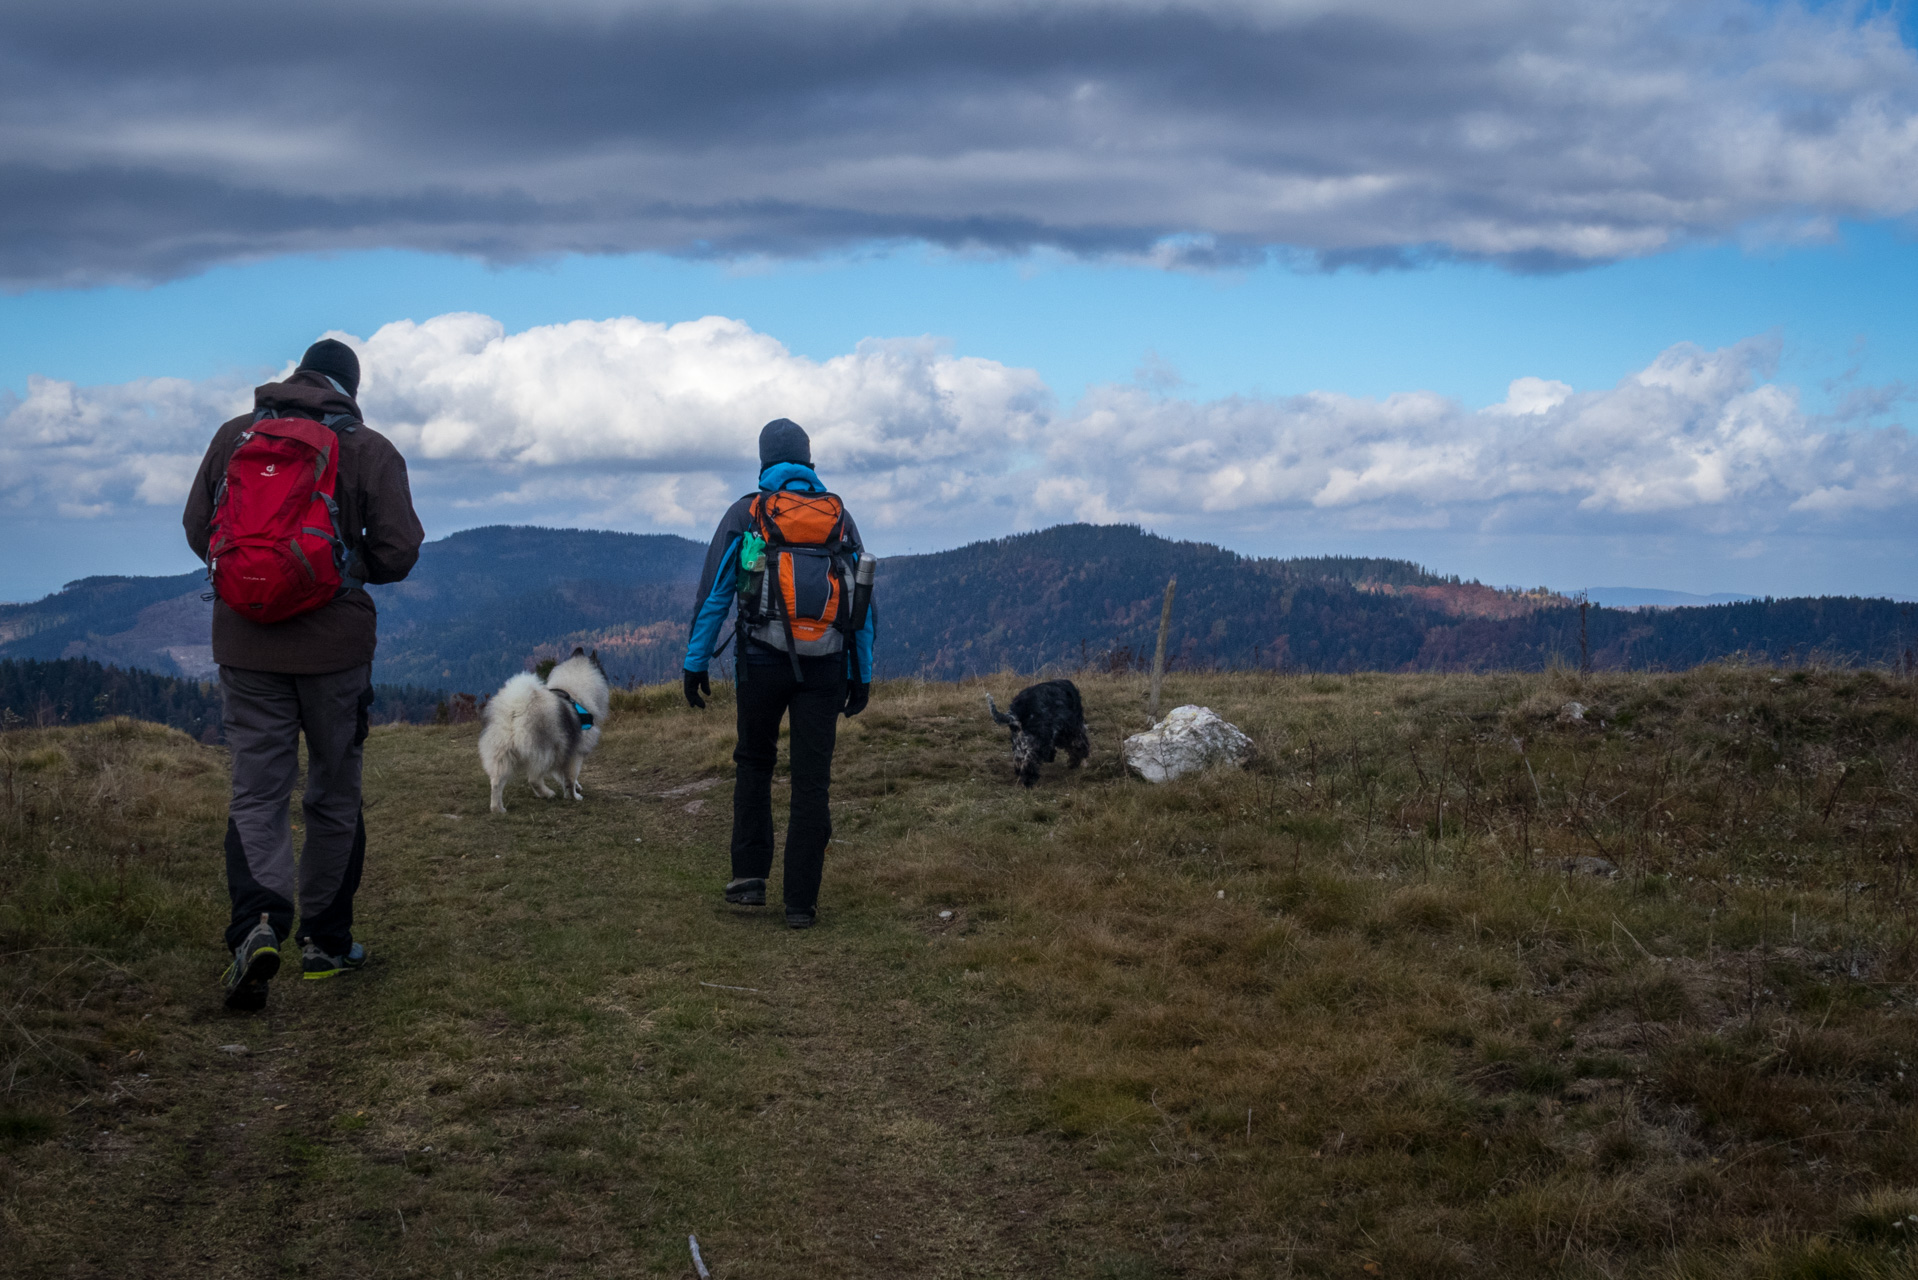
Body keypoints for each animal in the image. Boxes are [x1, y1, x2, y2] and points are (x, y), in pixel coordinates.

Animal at [475, 644, 609, 817]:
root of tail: (517, 706)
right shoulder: (575, 753)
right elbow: (570, 778)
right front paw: (574, 796)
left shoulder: (564, 752)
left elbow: (563, 776)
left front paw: (575, 789)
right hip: (545, 753)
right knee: (533, 779)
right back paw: (547, 793)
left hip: (501, 754)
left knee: (496, 782)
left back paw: (498, 809)